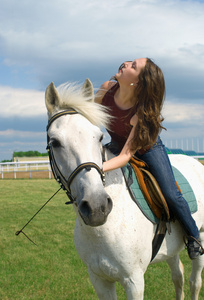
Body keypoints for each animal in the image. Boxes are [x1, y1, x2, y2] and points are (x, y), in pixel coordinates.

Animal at [45, 78, 204, 298]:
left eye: (99, 137)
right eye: (55, 142)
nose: (97, 207)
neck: (105, 228)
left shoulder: (134, 281)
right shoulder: (99, 279)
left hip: (200, 239)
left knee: (194, 282)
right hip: (170, 249)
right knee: (178, 276)